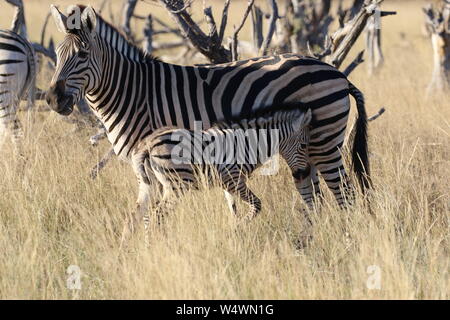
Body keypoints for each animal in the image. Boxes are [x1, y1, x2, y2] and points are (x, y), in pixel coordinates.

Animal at [45, 5, 370, 238]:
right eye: (58, 55)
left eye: (82, 55)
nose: (52, 99)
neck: (133, 92)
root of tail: (336, 72)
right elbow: (139, 217)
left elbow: (152, 215)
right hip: (307, 149)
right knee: (314, 195)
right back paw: (311, 241)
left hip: (324, 141)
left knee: (345, 195)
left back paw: (347, 240)